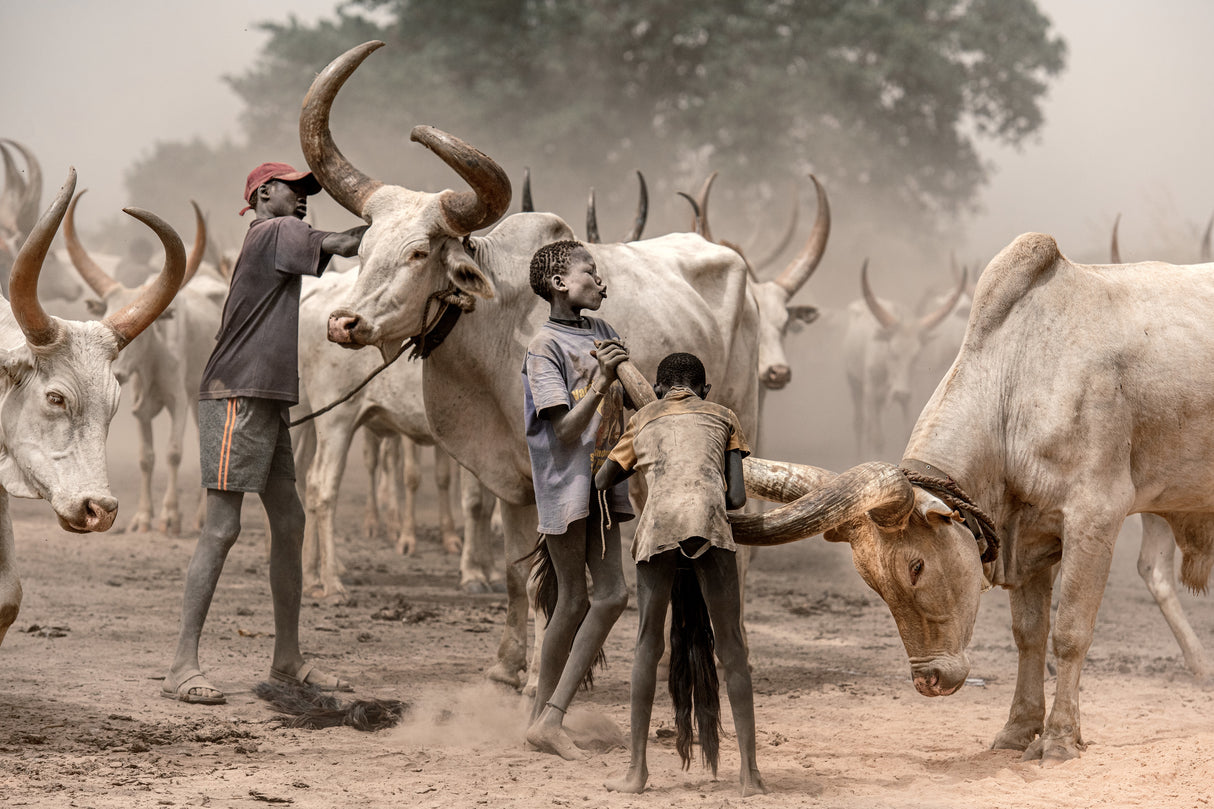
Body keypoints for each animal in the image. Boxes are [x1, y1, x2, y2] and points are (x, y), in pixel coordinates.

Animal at [300, 40, 760, 688]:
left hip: (742, 418)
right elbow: (518, 573)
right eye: (362, 249)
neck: (489, 342)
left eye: (418, 253)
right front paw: (505, 666)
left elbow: (557, 581)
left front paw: (544, 676)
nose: (344, 323)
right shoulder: (507, 480)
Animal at [842, 259, 966, 459]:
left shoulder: (908, 394)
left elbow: (908, 430)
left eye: (916, 356)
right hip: (854, 382)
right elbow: (876, 437)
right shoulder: (871, 391)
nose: (900, 393)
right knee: (861, 424)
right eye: (892, 351)